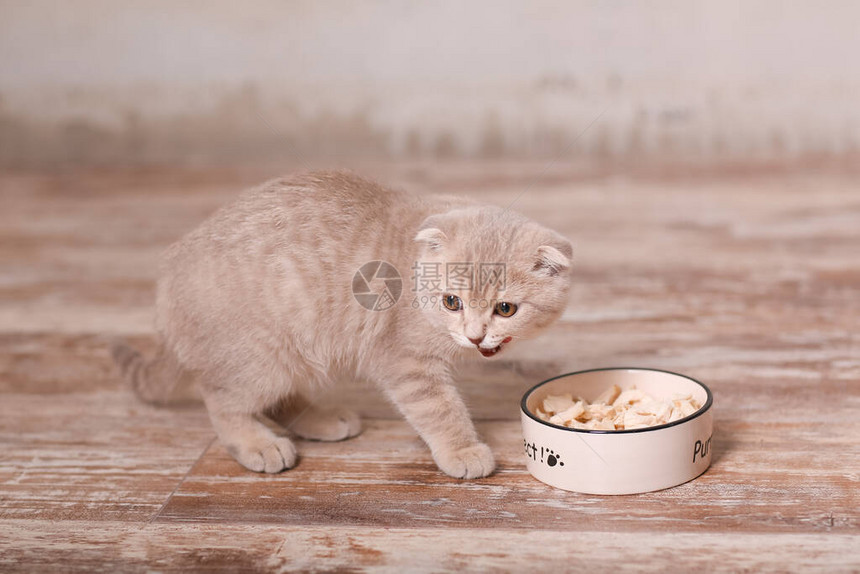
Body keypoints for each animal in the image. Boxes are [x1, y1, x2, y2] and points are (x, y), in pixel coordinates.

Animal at [112, 171, 572, 482]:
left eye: (506, 308)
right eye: (451, 302)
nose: (475, 335)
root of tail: (166, 284)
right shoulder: (405, 362)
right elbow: (440, 409)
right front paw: (462, 450)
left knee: (275, 399)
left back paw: (319, 420)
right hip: (262, 357)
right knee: (222, 400)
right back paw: (257, 444)